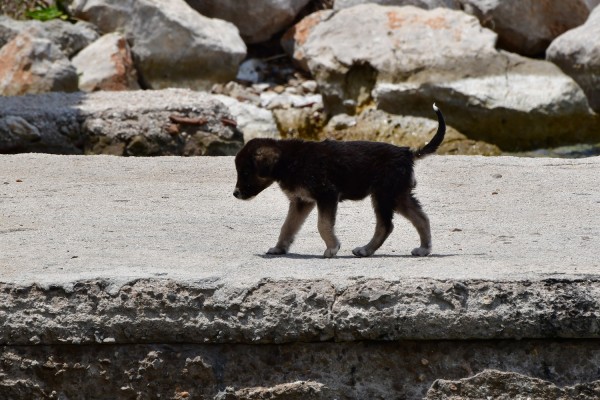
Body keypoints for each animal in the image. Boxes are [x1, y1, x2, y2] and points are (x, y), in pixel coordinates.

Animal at [234, 104, 446, 258]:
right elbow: (287, 226)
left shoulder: (327, 194)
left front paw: (332, 248)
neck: (288, 160)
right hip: (397, 194)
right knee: (421, 218)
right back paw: (423, 249)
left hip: (384, 194)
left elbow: (322, 224)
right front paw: (279, 249)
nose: (235, 194)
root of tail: (407, 153)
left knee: (386, 225)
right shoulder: (301, 201)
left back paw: (366, 250)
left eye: (245, 172)